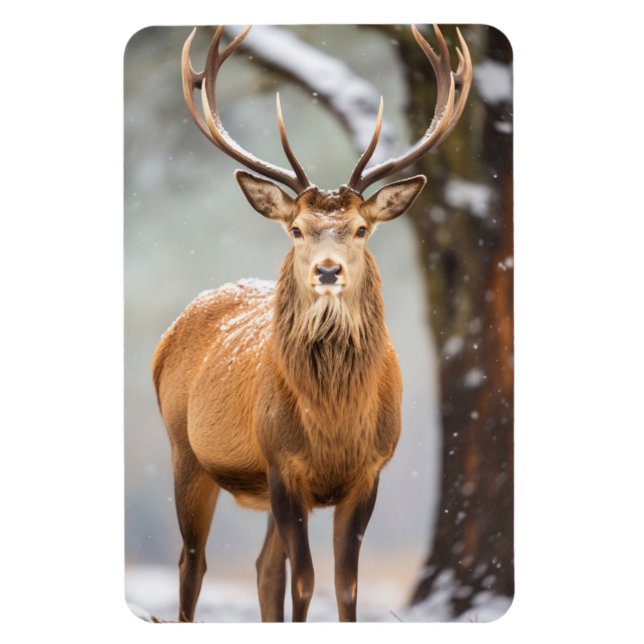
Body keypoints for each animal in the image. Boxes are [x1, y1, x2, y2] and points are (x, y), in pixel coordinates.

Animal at [152, 24, 472, 622]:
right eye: (297, 229)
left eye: (361, 229)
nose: (327, 269)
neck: (334, 425)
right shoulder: (283, 463)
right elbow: (305, 582)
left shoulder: (370, 469)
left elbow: (344, 586)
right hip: (186, 449)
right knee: (192, 564)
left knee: (262, 568)